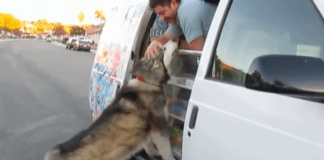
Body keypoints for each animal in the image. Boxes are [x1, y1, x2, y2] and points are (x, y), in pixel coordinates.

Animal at [45, 54, 175, 160]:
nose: (160, 47)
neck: (146, 82)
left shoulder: (148, 130)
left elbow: (149, 146)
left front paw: (153, 152)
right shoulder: (159, 126)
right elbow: (167, 149)